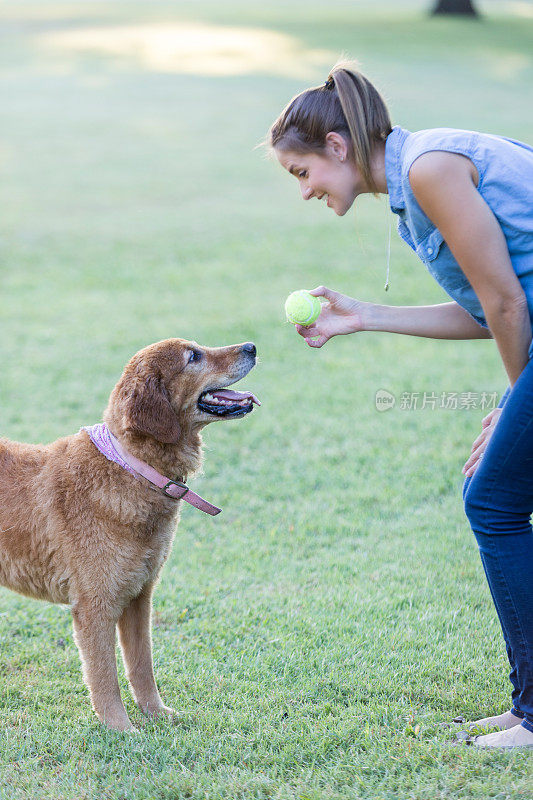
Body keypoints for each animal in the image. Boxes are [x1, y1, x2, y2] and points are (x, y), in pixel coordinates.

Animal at [0, 338, 258, 732]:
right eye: (193, 357)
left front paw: (156, 713)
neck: (132, 469)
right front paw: (121, 728)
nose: (252, 346)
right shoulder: (95, 605)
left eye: (197, 347)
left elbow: (141, 665)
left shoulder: (139, 596)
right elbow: (104, 676)